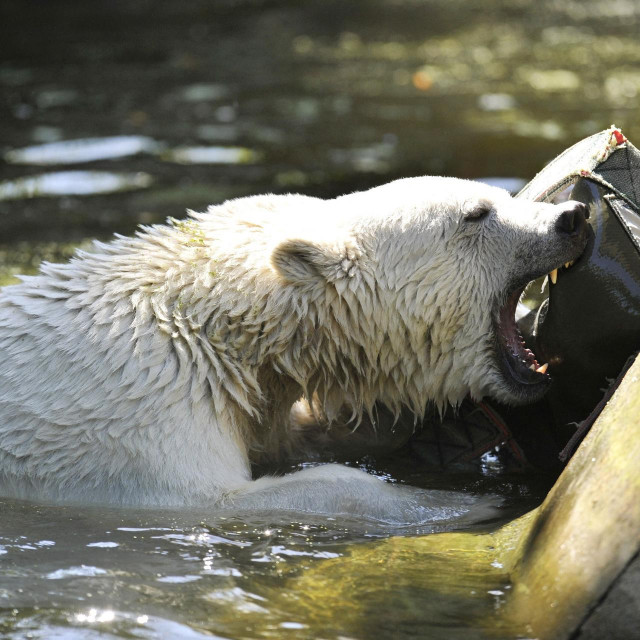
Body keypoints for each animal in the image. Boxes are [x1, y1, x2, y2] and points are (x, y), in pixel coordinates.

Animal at [0, 178, 592, 516]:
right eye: (476, 213)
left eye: (505, 195)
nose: (572, 218)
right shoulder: (143, 398)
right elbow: (215, 499)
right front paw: (457, 503)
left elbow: (304, 435)